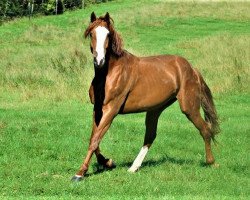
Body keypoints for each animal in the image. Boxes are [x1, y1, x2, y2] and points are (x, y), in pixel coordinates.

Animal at [71, 12, 220, 181]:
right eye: (91, 34)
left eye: (108, 34)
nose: (99, 61)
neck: (110, 73)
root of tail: (191, 68)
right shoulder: (98, 109)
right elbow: (94, 139)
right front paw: (108, 162)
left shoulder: (111, 109)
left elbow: (95, 140)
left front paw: (79, 173)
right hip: (155, 110)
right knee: (150, 136)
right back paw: (133, 167)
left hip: (189, 107)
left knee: (205, 129)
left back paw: (211, 162)